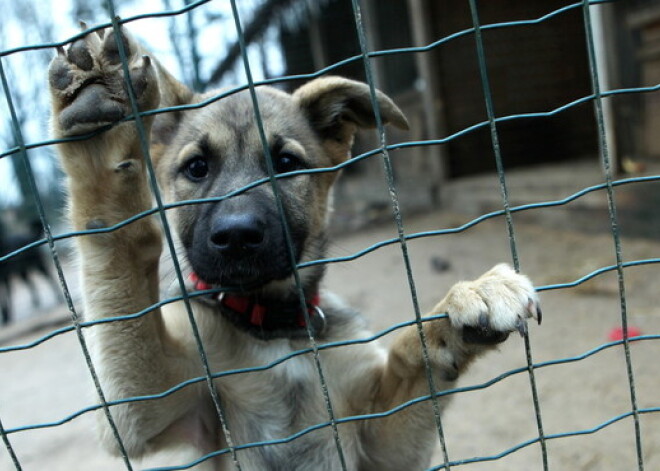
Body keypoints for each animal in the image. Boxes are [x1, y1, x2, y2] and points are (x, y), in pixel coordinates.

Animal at [47, 25, 540, 471]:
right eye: (197, 168)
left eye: (286, 163)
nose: (237, 235)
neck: (273, 328)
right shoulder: (147, 408)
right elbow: (121, 247)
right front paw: (100, 129)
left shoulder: (382, 446)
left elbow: (409, 354)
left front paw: (467, 301)